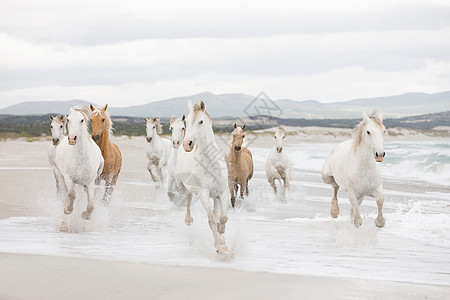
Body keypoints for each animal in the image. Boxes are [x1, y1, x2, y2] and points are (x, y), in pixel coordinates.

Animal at [177, 101, 229, 253]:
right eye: (186, 122)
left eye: (201, 121)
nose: (187, 144)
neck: (210, 163)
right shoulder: (204, 194)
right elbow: (211, 221)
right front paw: (219, 247)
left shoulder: (223, 192)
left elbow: (222, 217)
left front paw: (222, 234)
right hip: (183, 187)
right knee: (188, 198)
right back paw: (188, 220)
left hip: (215, 196)